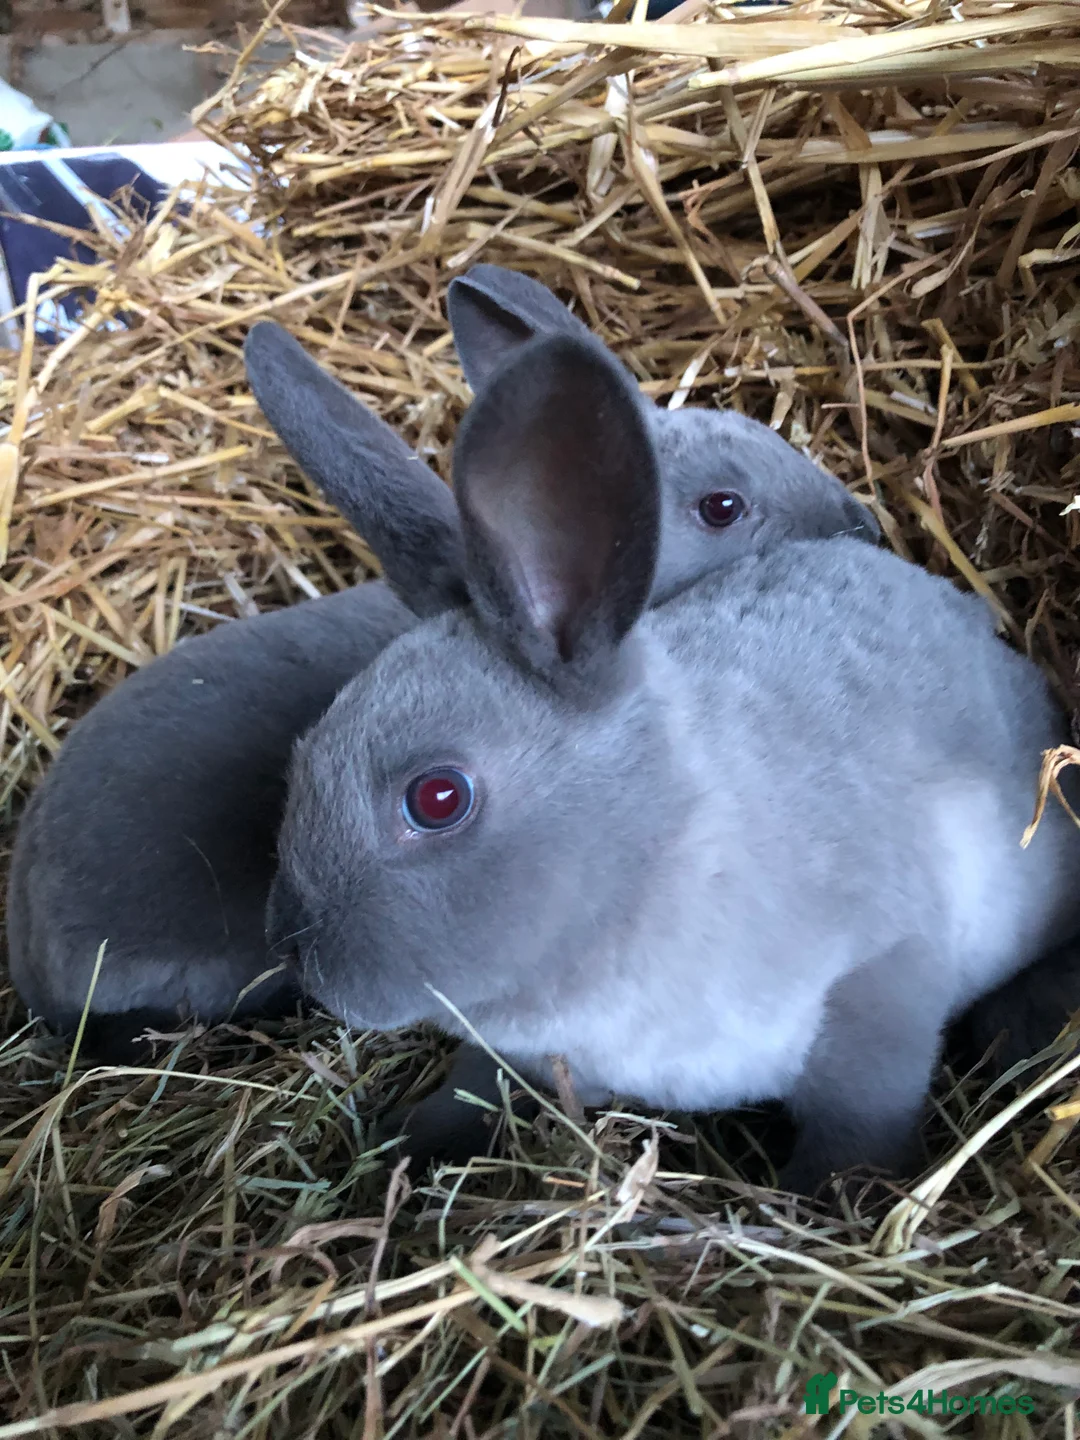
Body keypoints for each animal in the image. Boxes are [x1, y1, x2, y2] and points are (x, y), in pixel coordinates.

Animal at [252, 322, 1080, 1195]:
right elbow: (472, 1093)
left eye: (438, 798)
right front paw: (406, 1147)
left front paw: (821, 1198)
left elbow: (857, 1120)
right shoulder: (520, 1057)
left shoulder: (882, 981)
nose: (294, 951)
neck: (659, 848)